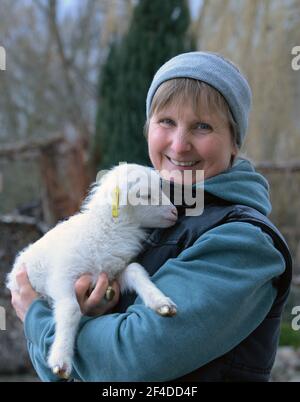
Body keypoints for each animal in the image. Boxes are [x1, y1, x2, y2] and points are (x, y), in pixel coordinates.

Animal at [6, 163, 178, 380]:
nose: (175, 213)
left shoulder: (112, 275)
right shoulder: (62, 277)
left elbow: (135, 270)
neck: (105, 230)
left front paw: (161, 302)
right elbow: (71, 309)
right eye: (145, 195)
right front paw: (61, 360)